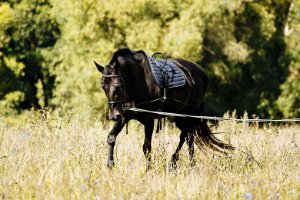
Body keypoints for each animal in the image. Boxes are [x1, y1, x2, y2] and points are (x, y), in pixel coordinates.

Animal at [94, 47, 234, 168]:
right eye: (103, 86)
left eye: (117, 84)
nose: (113, 115)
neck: (137, 79)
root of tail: (201, 72)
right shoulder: (125, 116)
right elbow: (111, 137)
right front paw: (110, 163)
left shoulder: (149, 120)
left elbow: (146, 147)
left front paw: (148, 170)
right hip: (180, 115)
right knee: (188, 136)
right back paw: (187, 163)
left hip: (188, 113)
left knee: (187, 136)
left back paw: (177, 162)